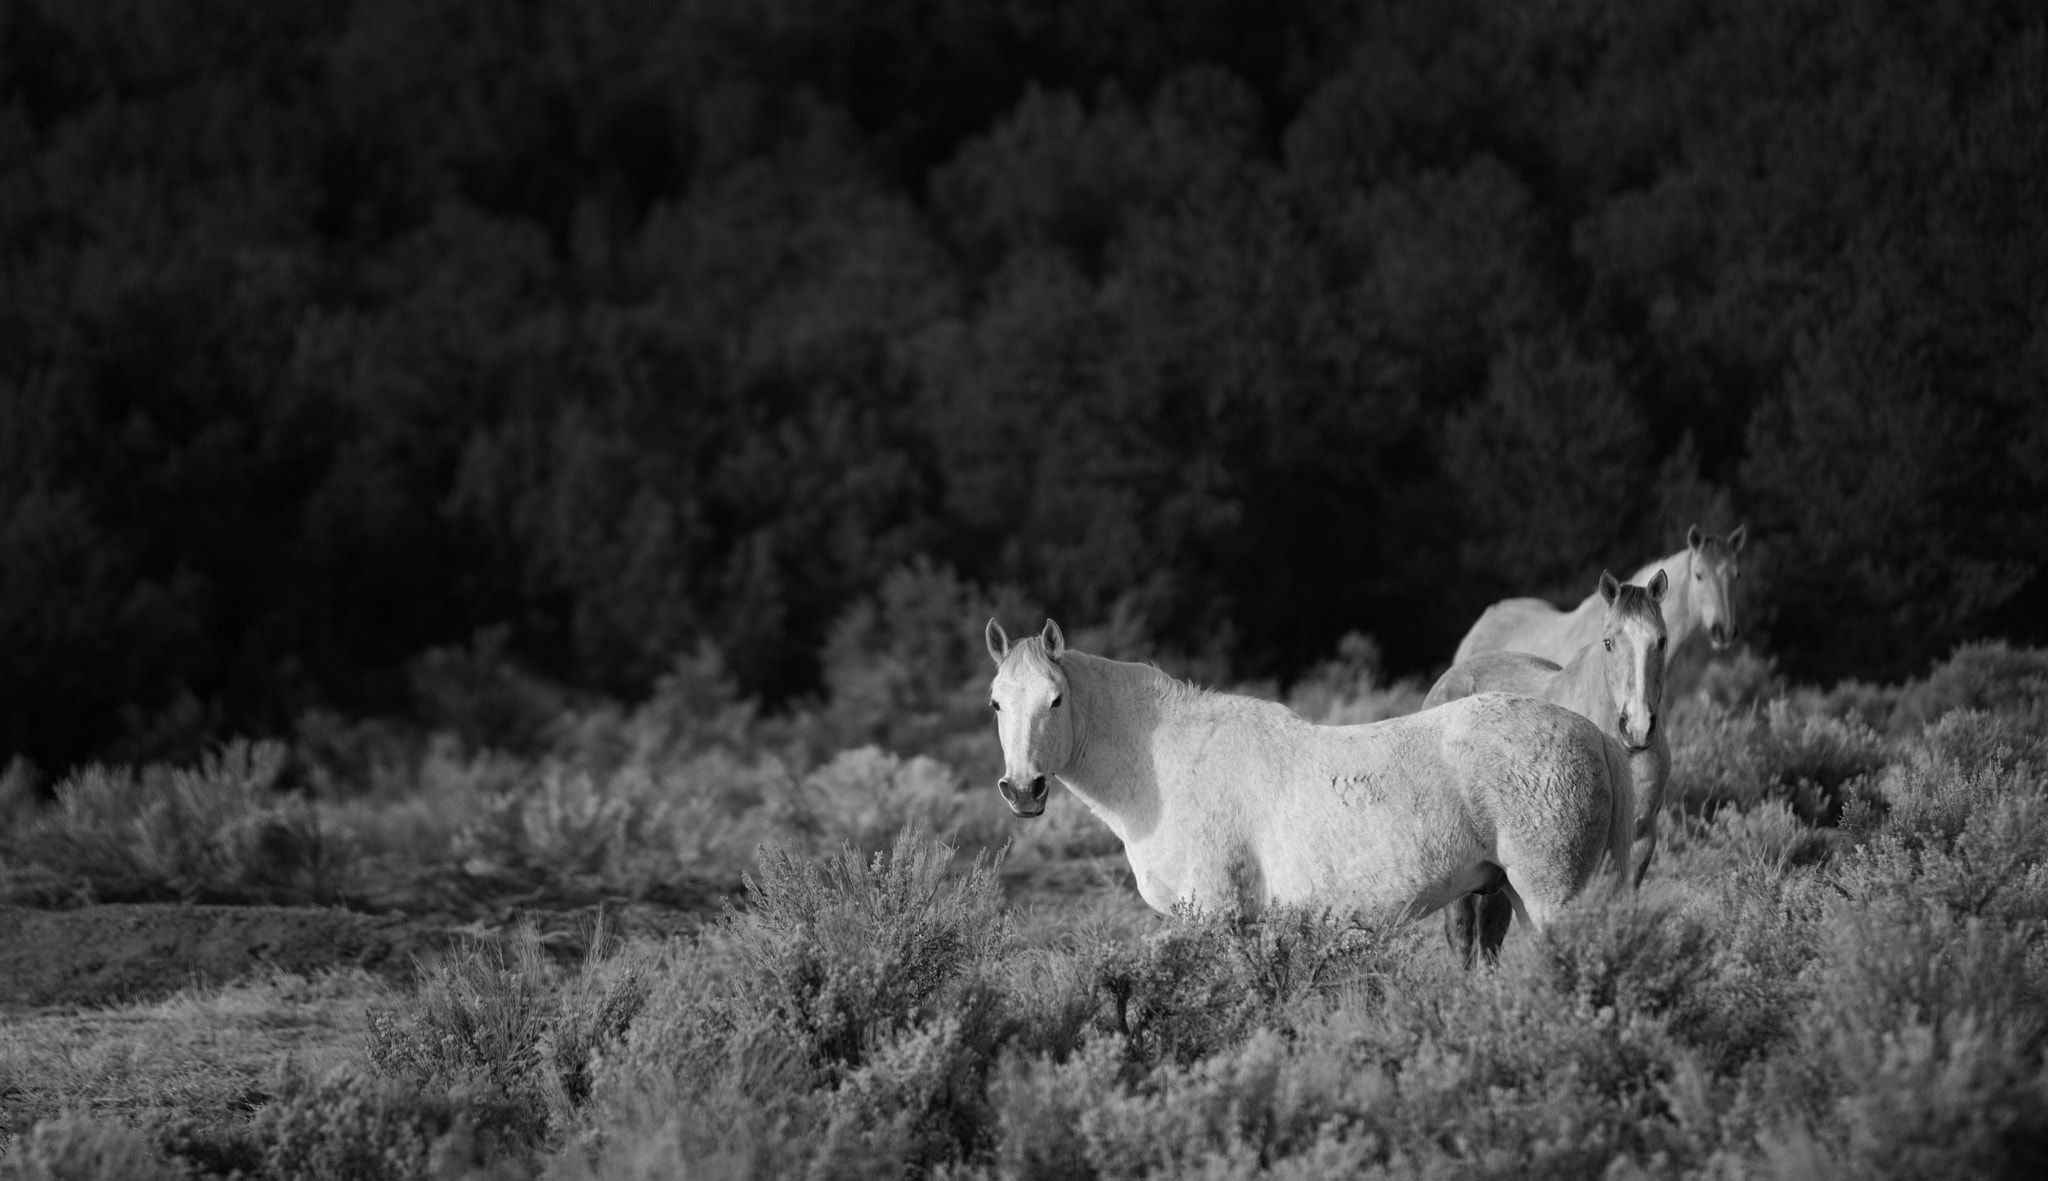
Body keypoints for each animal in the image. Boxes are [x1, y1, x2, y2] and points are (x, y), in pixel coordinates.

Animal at [983, 618, 1638, 949]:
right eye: (995, 703)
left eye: (1056, 699)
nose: (1023, 791)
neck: (1164, 768)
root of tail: (1595, 735)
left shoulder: (1216, 918)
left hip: (1549, 897)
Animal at [1425, 573, 1662, 966]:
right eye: (1609, 642)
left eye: (1661, 641)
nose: (1639, 726)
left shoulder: (1639, 843)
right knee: (1462, 931)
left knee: (1490, 930)